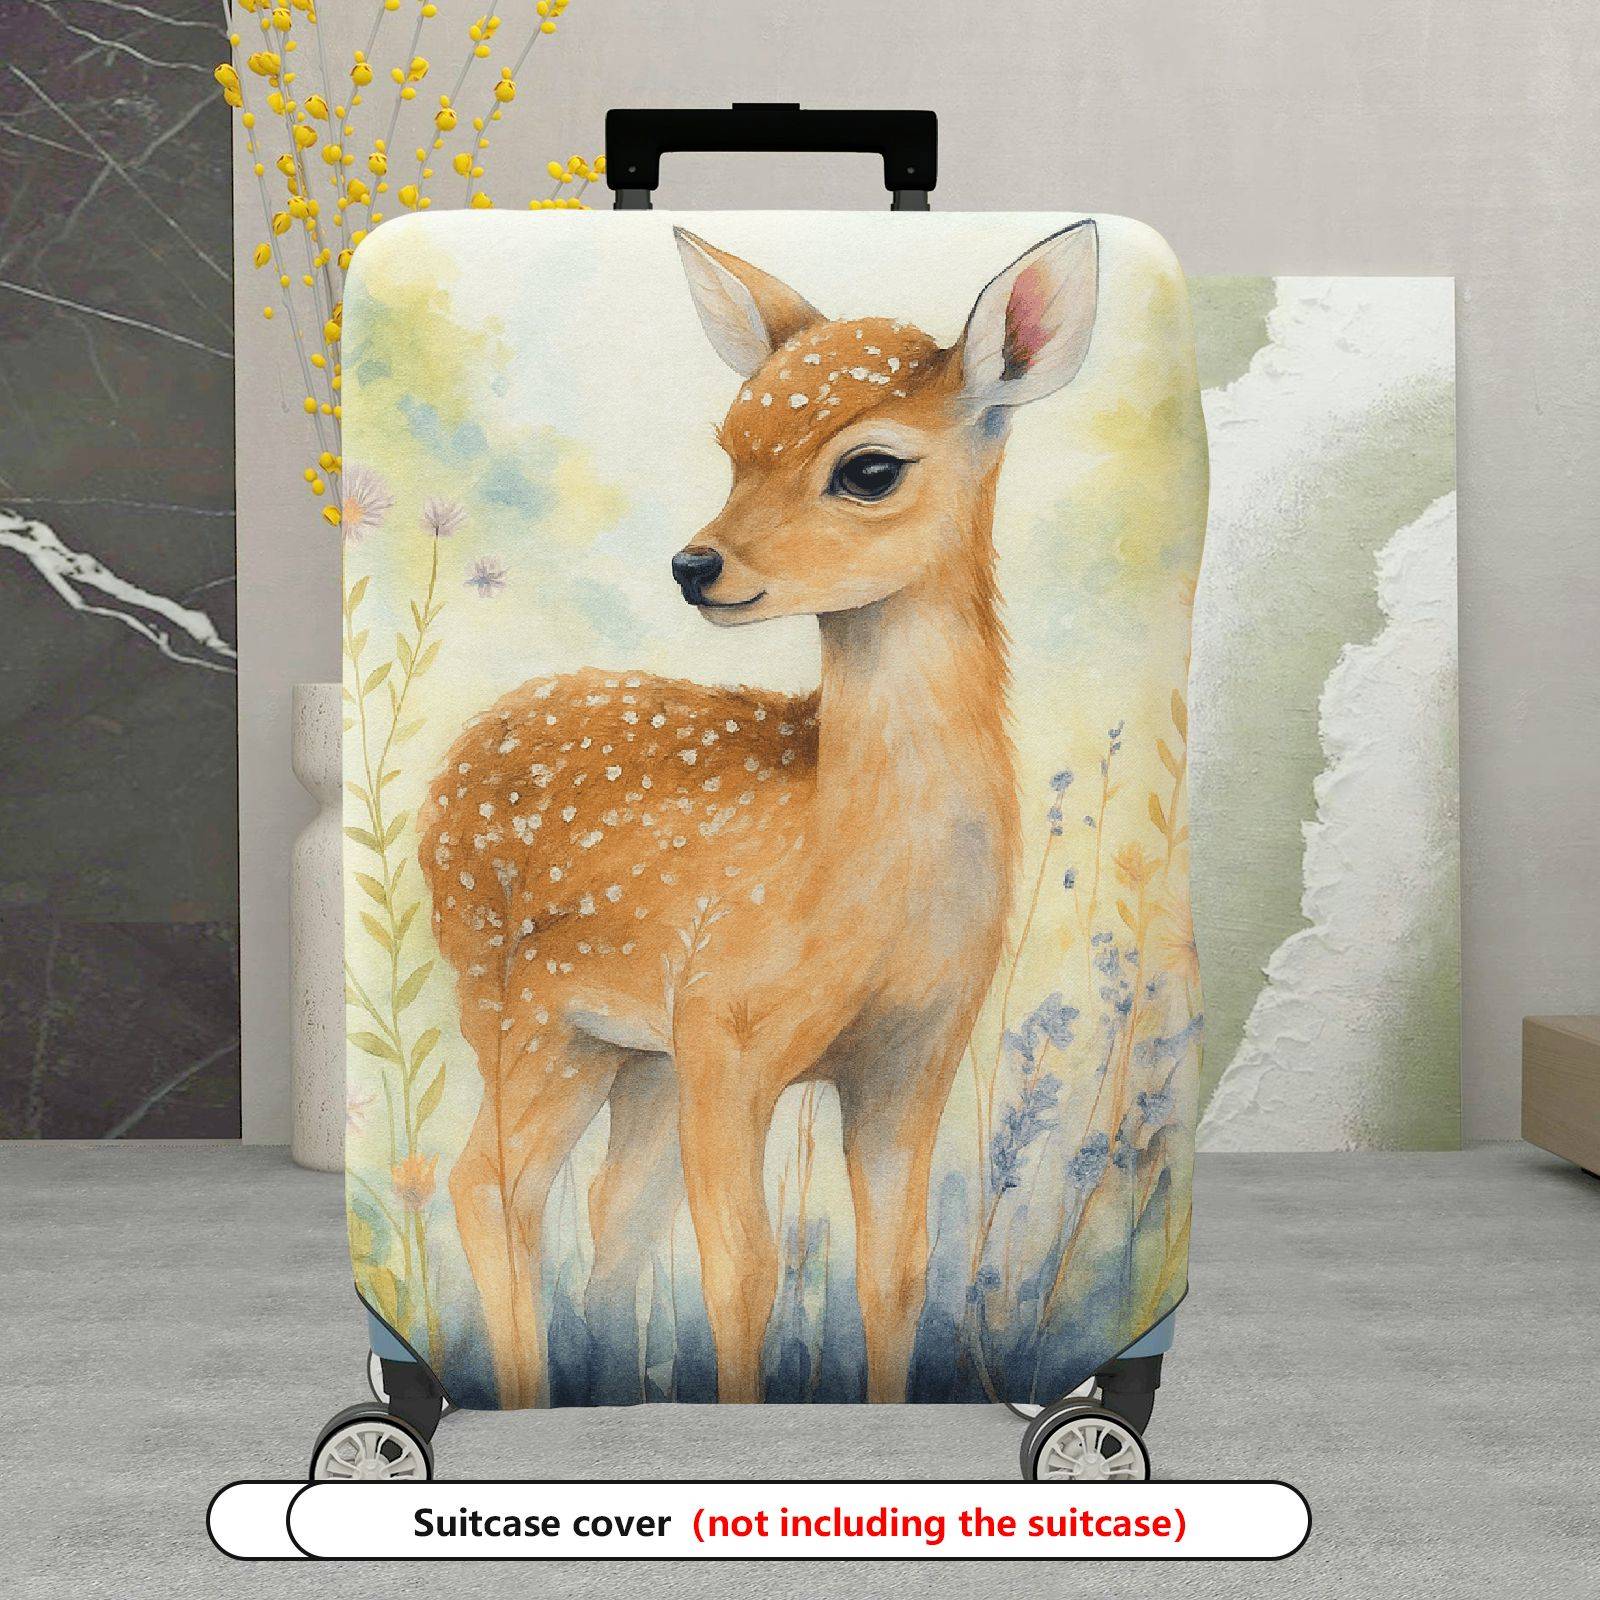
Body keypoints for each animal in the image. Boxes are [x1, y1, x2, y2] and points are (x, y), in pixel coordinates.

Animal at [418, 219, 1101, 1408]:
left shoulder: (913, 1049)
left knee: (605, 1218)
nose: (697, 565)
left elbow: (895, 1268)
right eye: (731, 441)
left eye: (869, 468)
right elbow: (743, 1268)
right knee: (491, 1188)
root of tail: (460, 751)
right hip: (522, 1009)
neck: (852, 877)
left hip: (632, 1050)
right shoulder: (730, 1033)